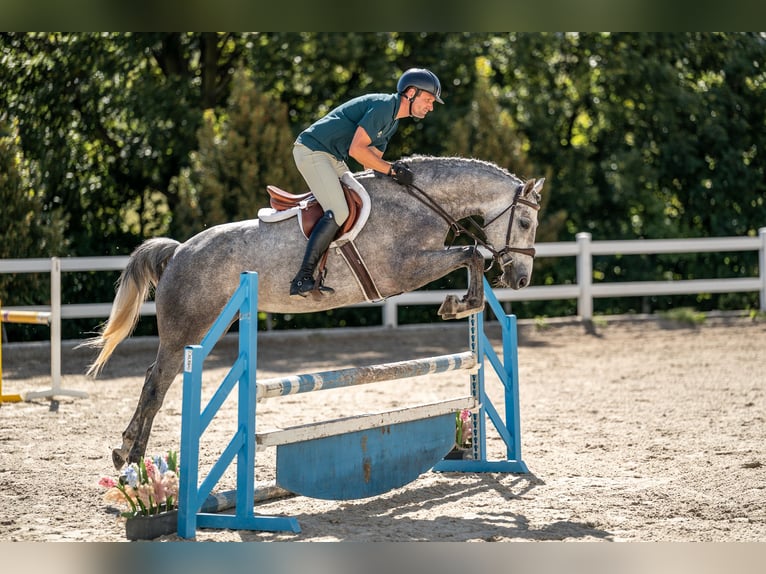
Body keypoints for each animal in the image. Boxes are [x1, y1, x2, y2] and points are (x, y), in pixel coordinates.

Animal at [82, 155, 544, 469]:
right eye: (524, 223)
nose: (521, 279)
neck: (422, 202)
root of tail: (179, 251)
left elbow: (473, 257)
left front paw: (463, 303)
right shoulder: (402, 270)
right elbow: (472, 253)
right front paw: (457, 304)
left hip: (209, 324)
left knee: (156, 379)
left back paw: (129, 452)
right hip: (185, 330)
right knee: (156, 384)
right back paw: (130, 457)